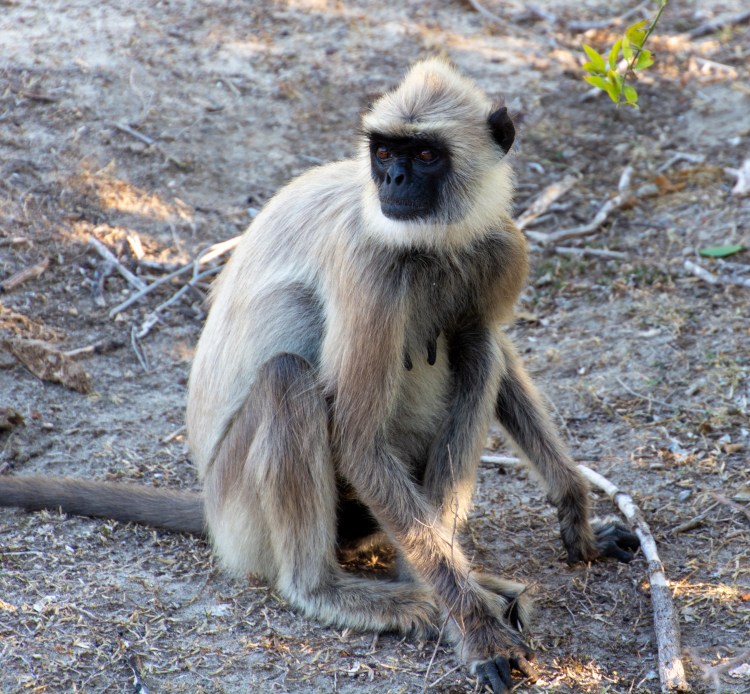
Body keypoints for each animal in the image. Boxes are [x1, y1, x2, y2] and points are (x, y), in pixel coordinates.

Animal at [0, 58, 639, 693]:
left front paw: (575, 512)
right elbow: (356, 438)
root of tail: (210, 504)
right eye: (385, 152)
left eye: (424, 155)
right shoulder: (369, 260)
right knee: (288, 378)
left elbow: (495, 350)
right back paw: (338, 590)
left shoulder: (499, 246)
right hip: (242, 504)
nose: (393, 181)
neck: (430, 246)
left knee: (477, 346)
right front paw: (478, 632)